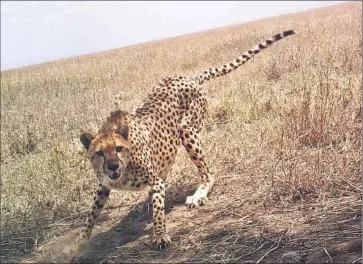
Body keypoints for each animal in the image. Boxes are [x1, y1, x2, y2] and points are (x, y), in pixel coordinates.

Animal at [73, 29, 296, 253]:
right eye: (99, 153)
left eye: (119, 148)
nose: (112, 166)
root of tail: (187, 77)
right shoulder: (104, 185)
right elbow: (91, 214)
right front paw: (79, 242)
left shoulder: (153, 181)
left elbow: (159, 211)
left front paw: (160, 234)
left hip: (187, 132)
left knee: (208, 173)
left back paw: (198, 195)